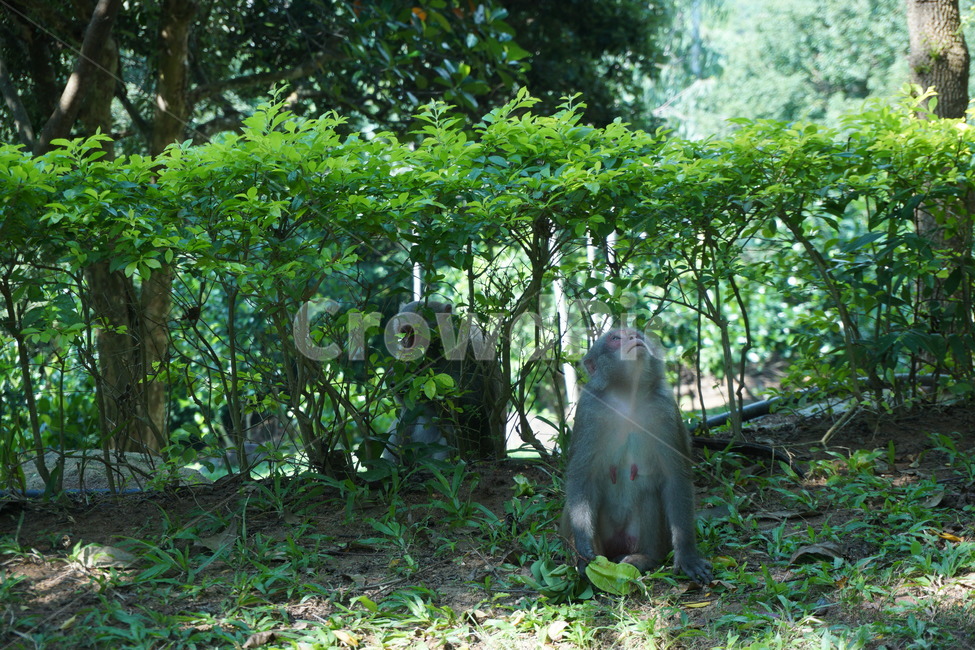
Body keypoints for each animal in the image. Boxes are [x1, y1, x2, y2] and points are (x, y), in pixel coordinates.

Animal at [561, 328, 713, 585]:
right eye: (615, 339)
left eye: (635, 333)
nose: (634, 339)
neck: (627, 396)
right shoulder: (589, 409)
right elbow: (582, 479)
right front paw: (583, 547)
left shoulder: (665, 409)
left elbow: (675, 478)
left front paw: (687, 556)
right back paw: (586, 566)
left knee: (649, 497)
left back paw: (644, 558)